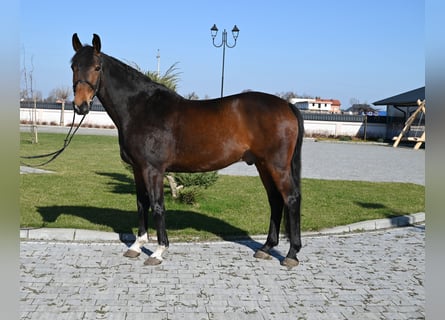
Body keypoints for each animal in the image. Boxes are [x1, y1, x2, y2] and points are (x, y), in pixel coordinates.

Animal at [71, 33, 304, 268]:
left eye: (97, 67)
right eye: (73, 66)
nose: (80, 106)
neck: (141, 108)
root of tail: (286, 105)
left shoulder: (153, 169)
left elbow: (157, 206)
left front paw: (158, 251)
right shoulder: (138, 169)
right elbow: (141, 204)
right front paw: (136, 246)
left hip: (277, 165)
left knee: (291, 198)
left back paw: (291, 254)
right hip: (262, 165)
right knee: (275, 200)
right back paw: (266, 248)